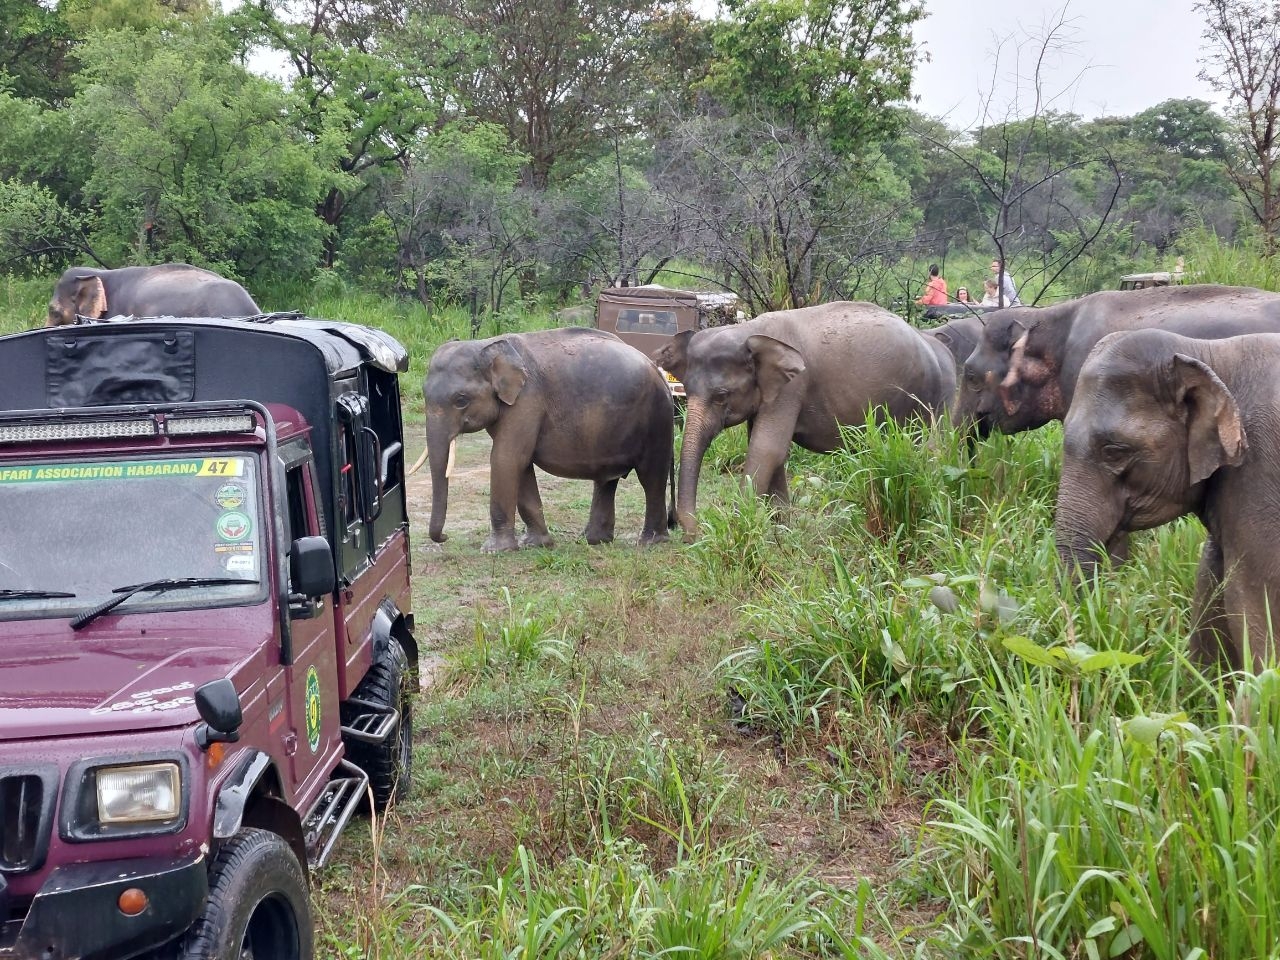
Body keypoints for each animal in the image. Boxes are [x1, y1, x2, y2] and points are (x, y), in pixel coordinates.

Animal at [424, 330, 675, 552]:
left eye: (461, 400)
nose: (445, 537)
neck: (488, 344)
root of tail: (658, 370)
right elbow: (521, 464)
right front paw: (535, 544)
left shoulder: (527, 400)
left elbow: (506, 459)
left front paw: (494, 551)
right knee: (607, 481)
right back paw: (594, 541)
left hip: (656, 419)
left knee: (651, 476)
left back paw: (650, 543)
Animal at [650, 302, 962, 542]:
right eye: (687, 389)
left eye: (721, 395)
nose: (693, 533)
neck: (749, 331)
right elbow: (770, 452)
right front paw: (781, 531)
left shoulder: (792, 387)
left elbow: (767, 449)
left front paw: (736, 528)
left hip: (934, 400)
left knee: (929, 450)